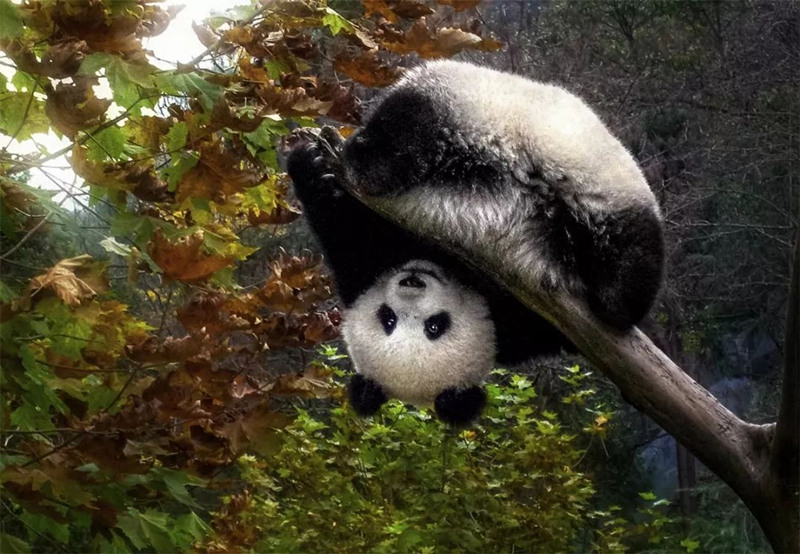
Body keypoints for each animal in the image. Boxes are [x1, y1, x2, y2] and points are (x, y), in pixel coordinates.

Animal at [287, 60, 664, 426]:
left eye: (435, 326)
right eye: (388, 318)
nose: (412, 282)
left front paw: (316, 160)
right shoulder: (522, 331)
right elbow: (349, 235)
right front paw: (311, 166)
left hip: (540, 135)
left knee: (412, 125)